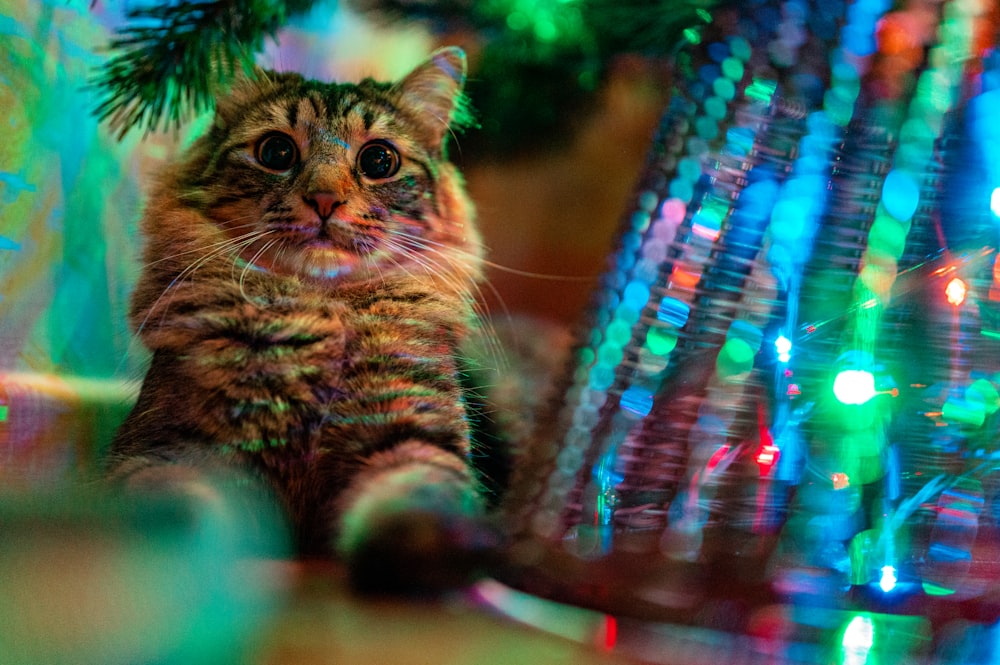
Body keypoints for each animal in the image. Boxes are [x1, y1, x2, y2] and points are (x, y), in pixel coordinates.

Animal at [107, 48, 494, 592]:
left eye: (379, 160)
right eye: (276, 152)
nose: (325, 199)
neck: (320, 307)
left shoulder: (414, 431)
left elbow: (419, 492)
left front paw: (429, 554)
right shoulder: (173, 446)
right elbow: (176, 499)